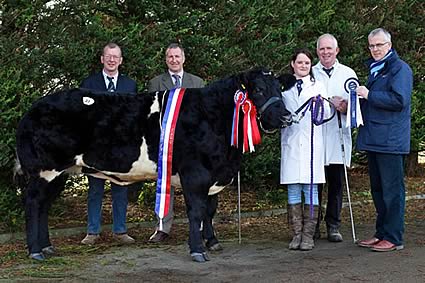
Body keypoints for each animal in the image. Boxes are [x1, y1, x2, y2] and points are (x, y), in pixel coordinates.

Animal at [14, 67, 294, 262]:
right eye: (258, 90)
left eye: (280, 89)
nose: (285, 117)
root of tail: (33, 109)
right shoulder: (195, 173)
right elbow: (196, 211)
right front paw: (197, 250)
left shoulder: (213, 175)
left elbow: (209, 211)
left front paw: (212, 241)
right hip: (44, 170)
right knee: (33, 204)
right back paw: (35, 251)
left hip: (60, 174)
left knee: (43, 207)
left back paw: (47, 246)